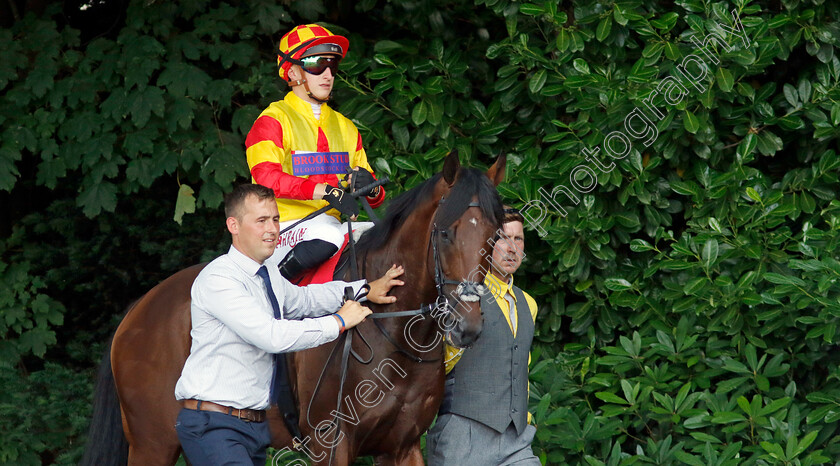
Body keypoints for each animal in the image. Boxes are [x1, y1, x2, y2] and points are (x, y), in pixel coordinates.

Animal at [83, 151, 506, 464]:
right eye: (445, 233)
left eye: (495, 234)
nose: (467, 326)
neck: (392, 331)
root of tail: (139, 308)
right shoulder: (330, 443)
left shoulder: (401, 447)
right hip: (152, 445)